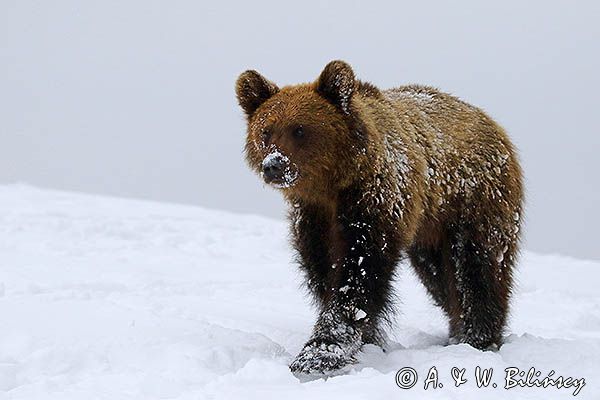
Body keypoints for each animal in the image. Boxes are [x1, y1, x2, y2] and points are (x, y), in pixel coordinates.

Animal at [234, 59, 520, 376]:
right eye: (266, 130)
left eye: (299, 129)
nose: (273, 165)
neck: (333, 188)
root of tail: (491, 123)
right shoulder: (314, 219)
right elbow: (323, 271)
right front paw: (363, 340)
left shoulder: (373, 205)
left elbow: (359, 273)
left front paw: (320, 352)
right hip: (430, 229)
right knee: (439, 278)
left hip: (473, 202)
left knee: (476, 268)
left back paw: (477, 337)